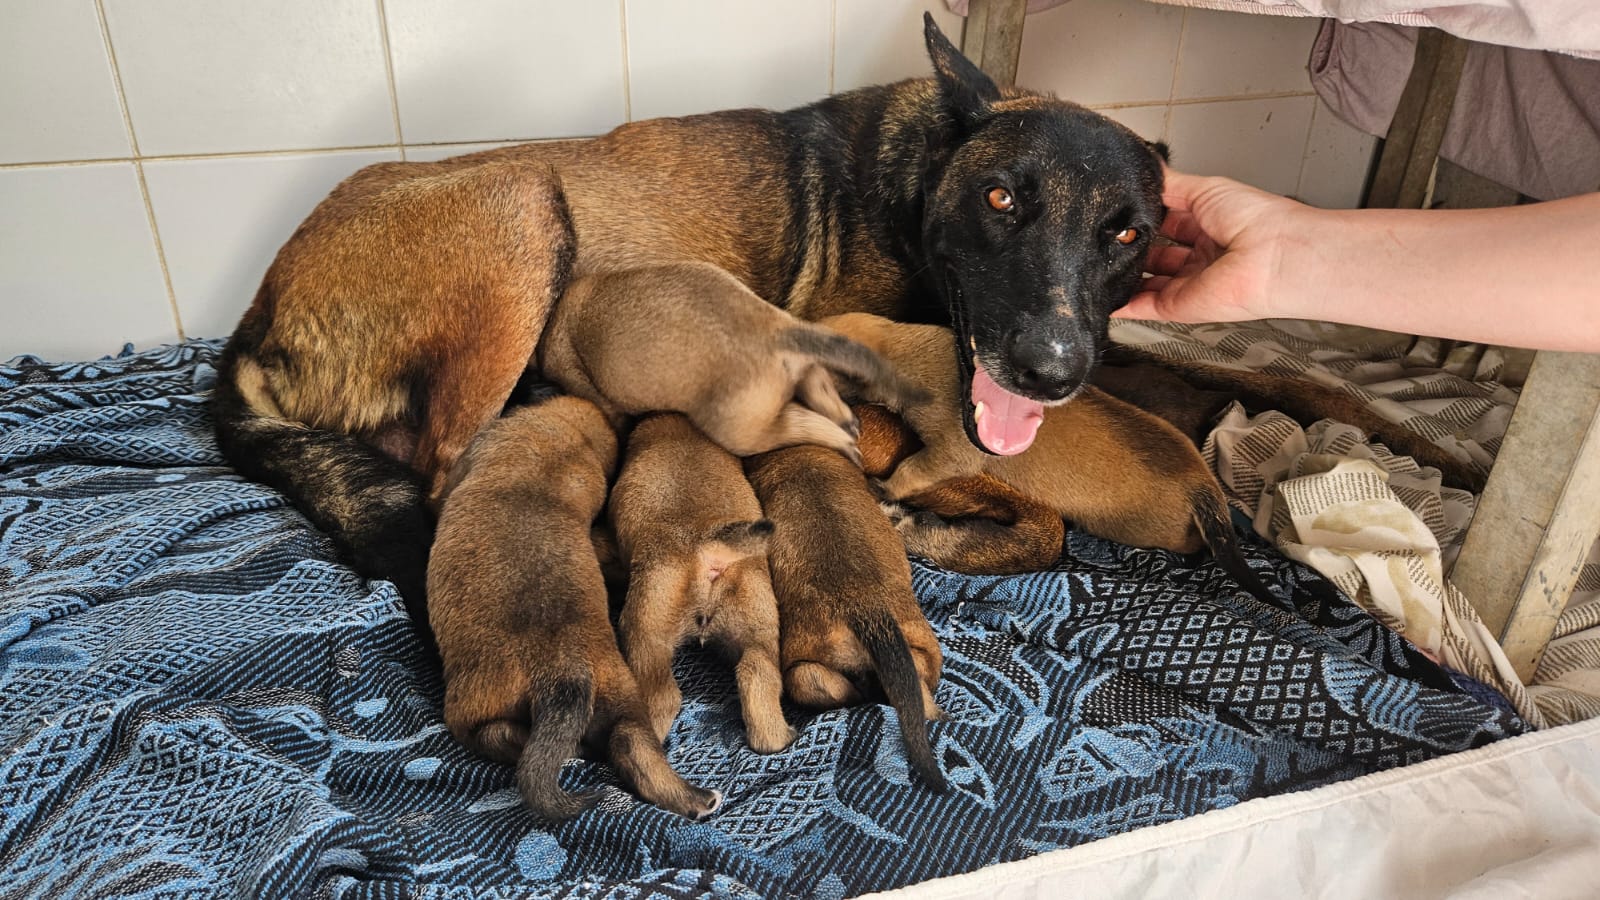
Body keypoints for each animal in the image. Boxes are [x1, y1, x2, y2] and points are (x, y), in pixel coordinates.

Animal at [432, 395, 720, 816]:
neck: (564, 441)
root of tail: (564, 676)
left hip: (474, 704)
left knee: (496, 736)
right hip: (623, 696)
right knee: (633, 748)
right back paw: (695, 798)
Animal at [537, 257, 928, 461]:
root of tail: (776, 331)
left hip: (742, 430)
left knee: (798, 426)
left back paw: (842, 441)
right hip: (806, 375)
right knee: (824, 401)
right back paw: (848, 423)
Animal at [604, 413, 793, 749]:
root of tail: (708, 549)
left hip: (645, 636)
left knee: (662, 699)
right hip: (758, 628)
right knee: (758, 680)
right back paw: (779, 738)